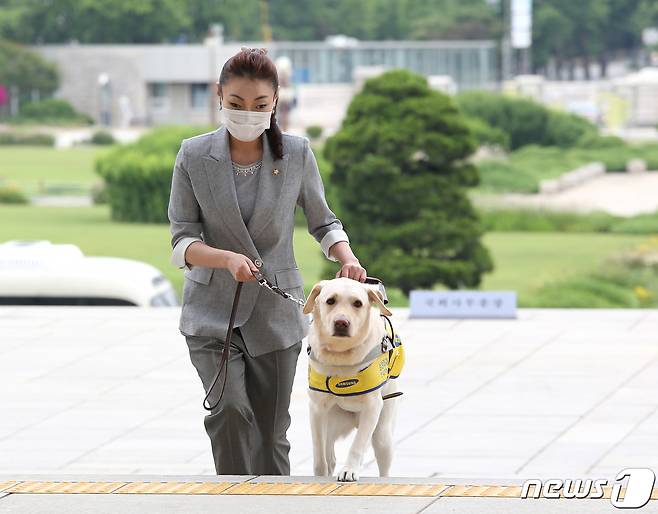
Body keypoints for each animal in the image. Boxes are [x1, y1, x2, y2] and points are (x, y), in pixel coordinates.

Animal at [302, 276, 400, 480]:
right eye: (330, 300)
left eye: (358, 303)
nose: (341, 322)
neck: (340, 356)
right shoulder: (316, 409)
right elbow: (319, 454)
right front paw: (320, 476)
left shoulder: (372, 407)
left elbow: (357, 445)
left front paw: (349, 470)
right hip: (331, 423)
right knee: (329, 455)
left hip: (383, 433)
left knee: (383, 464)